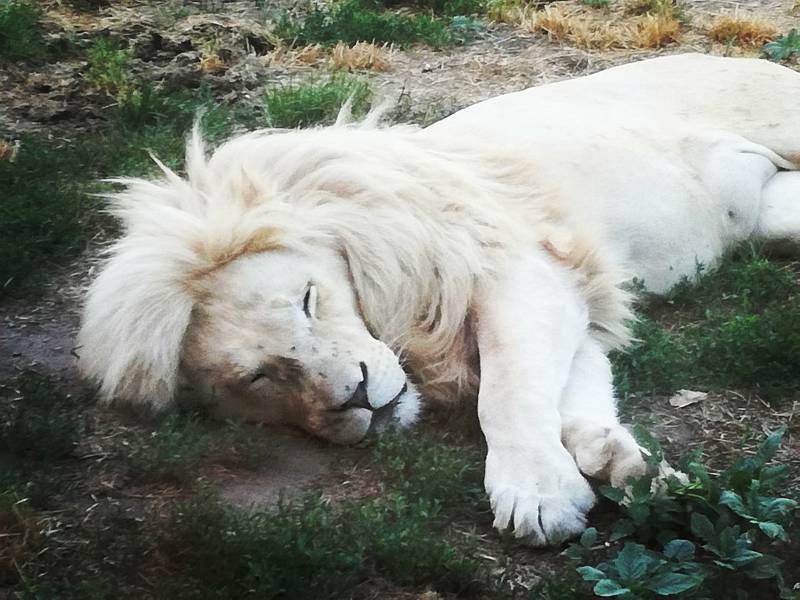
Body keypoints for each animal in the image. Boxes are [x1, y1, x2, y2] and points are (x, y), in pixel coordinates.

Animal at [79, 54, 800, 548]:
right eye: (258, 377)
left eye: (308, 300)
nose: (355, 396)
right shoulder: (572, 301)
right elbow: (568, 392)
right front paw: (620, 462)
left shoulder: (523, 270)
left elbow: (506, 393)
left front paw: (536, 493)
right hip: (774, 216)